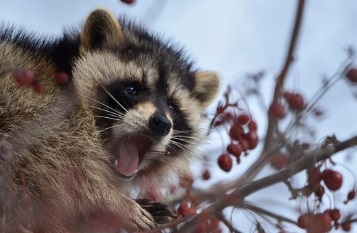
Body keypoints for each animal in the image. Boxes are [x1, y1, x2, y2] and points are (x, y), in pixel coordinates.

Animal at [0, 8, 218, 232]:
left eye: (173, 107)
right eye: (131, 89)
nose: (161, 123)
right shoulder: (41, 106)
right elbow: (52, 156)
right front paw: (107, 200)